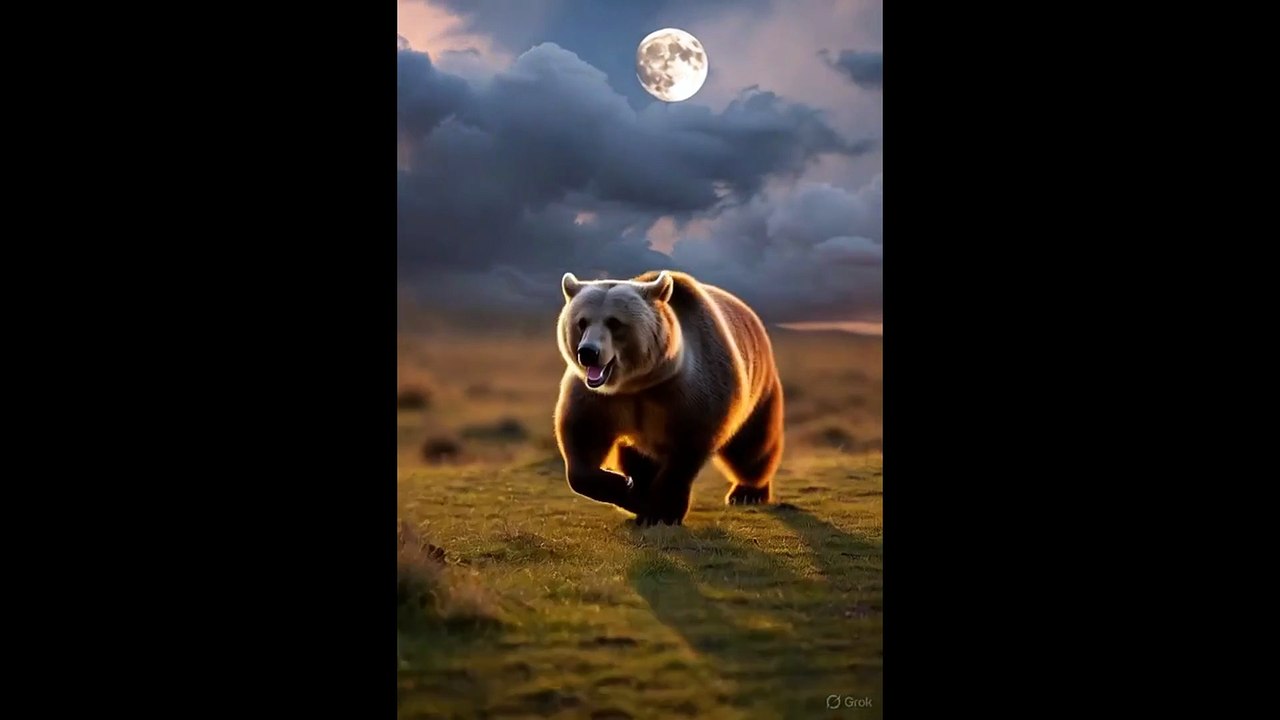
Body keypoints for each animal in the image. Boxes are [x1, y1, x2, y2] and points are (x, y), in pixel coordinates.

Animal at [553, 269, 785, 526]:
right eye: (581, 322)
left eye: (614, 322)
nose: (588, 352)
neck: (637, 383)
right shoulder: (600, 399)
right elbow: (582, 441)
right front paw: (630, 492)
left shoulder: (688, 395)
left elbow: (684, 455)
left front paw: (661, 511)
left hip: (759, 387)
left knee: (752, 445)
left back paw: (748, 492)